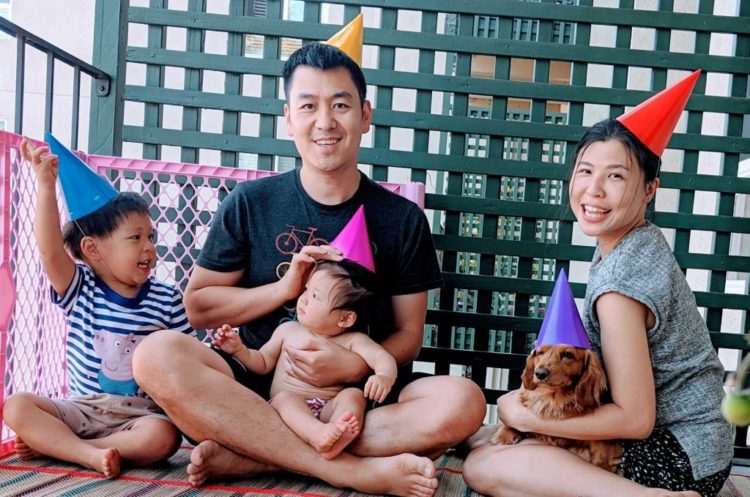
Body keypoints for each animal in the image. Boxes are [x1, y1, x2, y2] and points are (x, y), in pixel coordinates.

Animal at [494, 342, 624, 470]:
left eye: (568, 354)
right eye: (540, 352)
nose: (540, 373)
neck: (553, 398)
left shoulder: (604, 442)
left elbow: (601, 457)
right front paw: (504, 435)